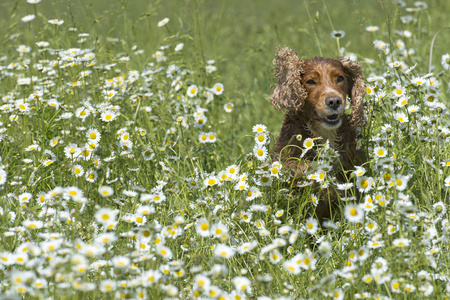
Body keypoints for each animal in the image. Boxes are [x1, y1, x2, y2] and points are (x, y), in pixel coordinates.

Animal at [270, 47, 366, 225]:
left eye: (340, 78)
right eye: (310, 82)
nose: (334, 101)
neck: (325, 133)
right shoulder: (280, 161)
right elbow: (304, 166)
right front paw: (329, 185)